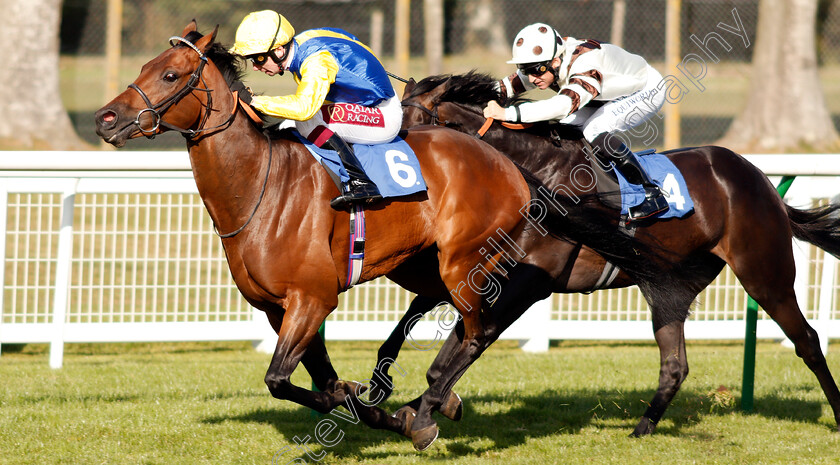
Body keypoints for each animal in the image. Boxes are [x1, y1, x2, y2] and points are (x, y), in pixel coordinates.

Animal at [93, 22, 664, 450]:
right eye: (143, 69)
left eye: (170, 74)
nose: (105, 118)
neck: (261, 187)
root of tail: (506, 162)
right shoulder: (281, 309)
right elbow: (317, 381)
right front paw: (376, 406)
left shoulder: (312, 298)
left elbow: (284, 380)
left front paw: (394, 414)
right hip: (426, 265)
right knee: (457, 321)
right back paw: (431, 399)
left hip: (464, 260)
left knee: (478, 327)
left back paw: (432, 405)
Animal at [378, 70, 840, 436]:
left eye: (408, 126)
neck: (531, 175)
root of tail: (758, 177)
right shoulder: (474, 270)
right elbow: (441, 343)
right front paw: (416, 406)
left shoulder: (532, 281)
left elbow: (473, 338)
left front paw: (424, 412)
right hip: (671, 289)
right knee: (675, 364)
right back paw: (642, 428)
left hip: (764, 272)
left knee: (807, 340)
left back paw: (835, 411)